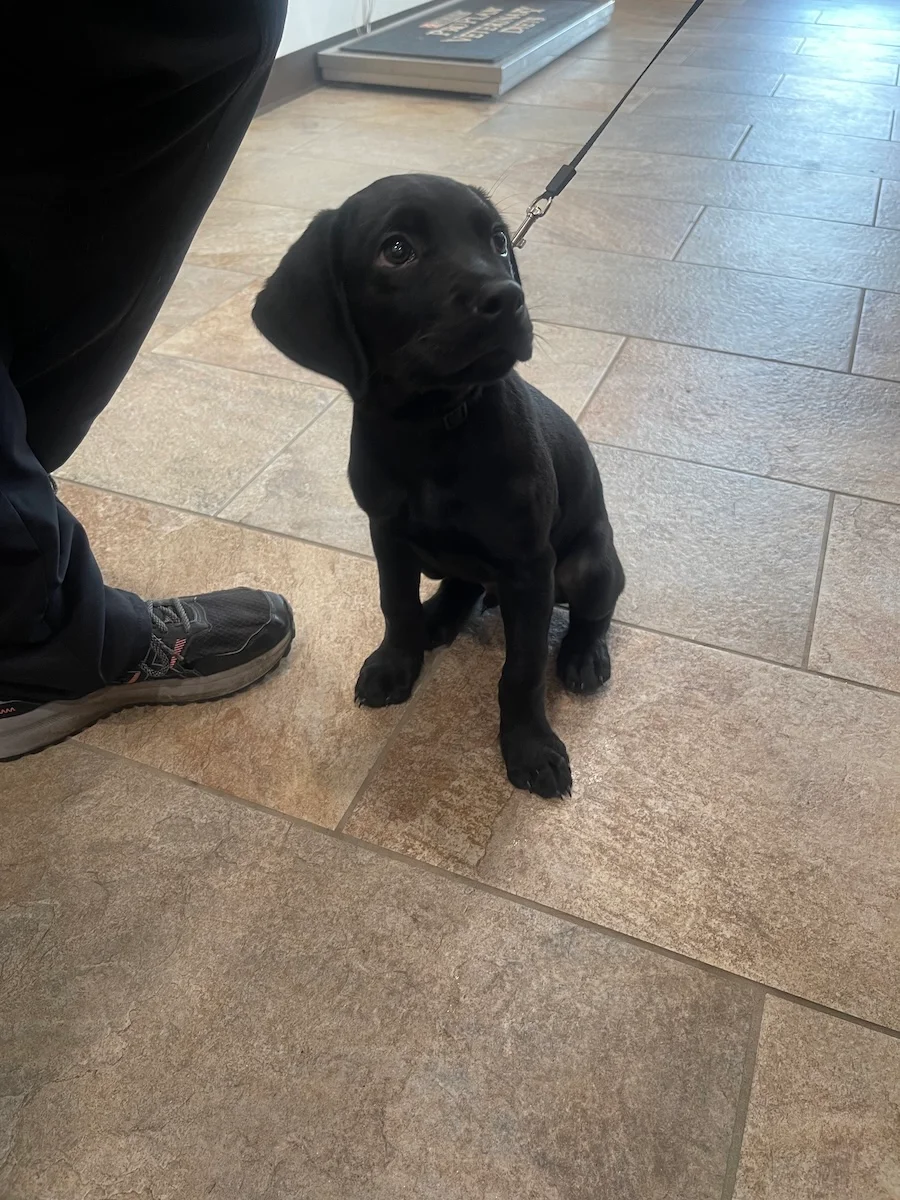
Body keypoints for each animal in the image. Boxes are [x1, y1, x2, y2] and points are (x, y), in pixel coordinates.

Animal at [250, 174, 624, 796]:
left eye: (498, 239)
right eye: (397, 249)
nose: (508, 298)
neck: (429, 428)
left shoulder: (528, 565)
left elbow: (522, 669)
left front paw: (530, 746)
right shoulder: (387, 536)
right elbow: (395, 605)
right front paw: (395, 664)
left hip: (584, 565)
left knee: (596, 608)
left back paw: (582, 657)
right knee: (462, 585)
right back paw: (439, 619)